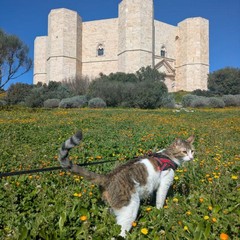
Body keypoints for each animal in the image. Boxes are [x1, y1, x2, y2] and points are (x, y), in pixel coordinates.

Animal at [58, 130, 195, 237]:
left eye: (192, 151)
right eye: (184, 151)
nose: (191, 158)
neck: (169, 155)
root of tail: (108, 177)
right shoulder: (164, 183)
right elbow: (160, 200)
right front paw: (159, 211)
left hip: (113, 206)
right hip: (130, 208)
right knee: (120, 232)